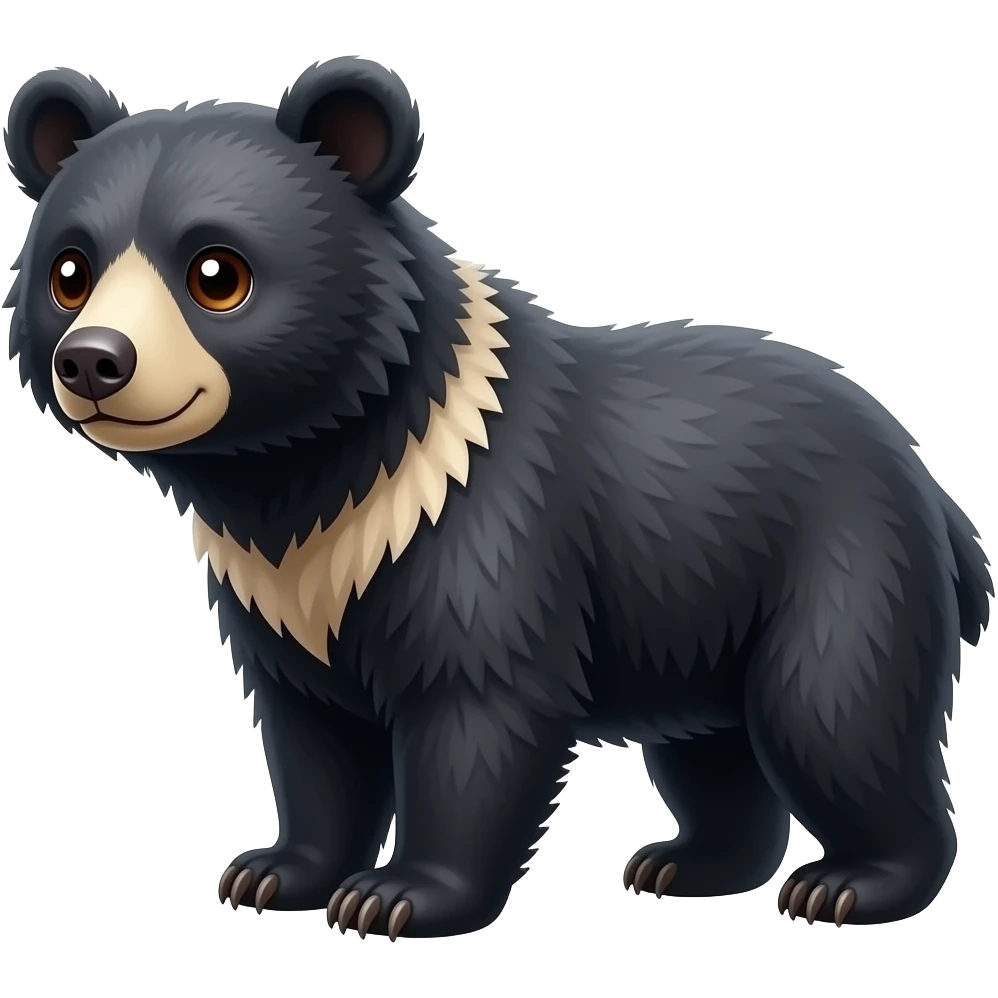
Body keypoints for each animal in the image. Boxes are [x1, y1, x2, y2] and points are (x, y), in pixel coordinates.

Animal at [2, 56, 992, 940]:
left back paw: (851, 882)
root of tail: (924, 477)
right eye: (69, 270)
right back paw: (687, 863)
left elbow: (475, 702)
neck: (316, 472)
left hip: (839, 559)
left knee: (831, 710)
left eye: (217, 273)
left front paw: (396, 897)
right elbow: (309, 728)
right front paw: (273, 871)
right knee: (714, 748)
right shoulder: (280, 585)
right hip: (702, 601)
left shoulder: (480, 522)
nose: (94, 360)